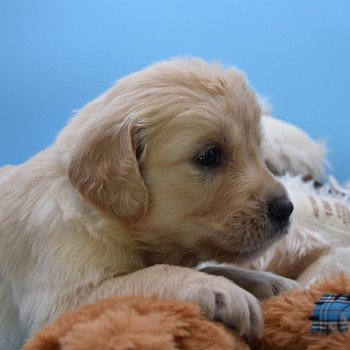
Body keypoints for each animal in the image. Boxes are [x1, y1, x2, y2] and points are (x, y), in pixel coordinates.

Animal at [0, 57, 296, 348]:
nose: (286, 209)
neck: (99, 215)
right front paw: (222, 291)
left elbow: (215, 267)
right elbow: (154, 273)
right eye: (210, 155)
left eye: (258, 148)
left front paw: (270, 282)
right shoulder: (63, 305)